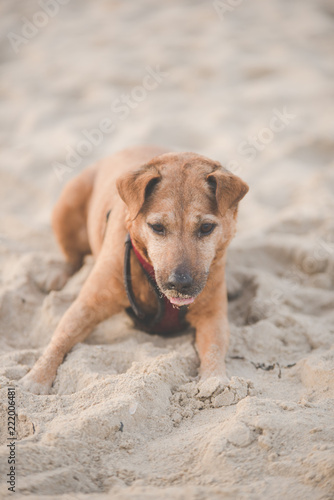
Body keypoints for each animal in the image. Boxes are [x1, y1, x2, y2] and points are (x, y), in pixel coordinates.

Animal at [19, 146, 247, 394]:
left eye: (206, 227)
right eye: (157, 227)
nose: (179, 283)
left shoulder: (213, 317)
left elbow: (214, 348)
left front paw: (215, 380)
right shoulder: (86, 306)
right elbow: (60, 338)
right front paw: (36, 377)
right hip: (66, 207)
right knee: (72, 258)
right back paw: (56, 273)